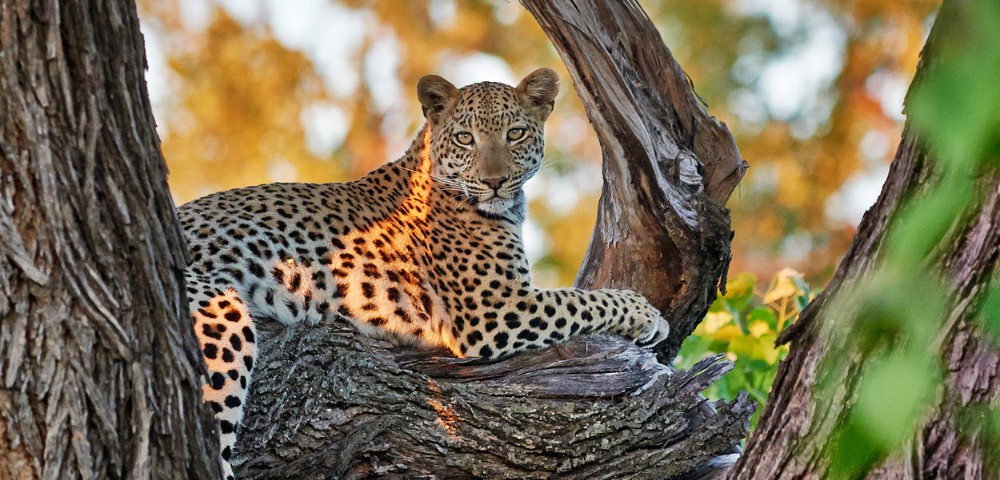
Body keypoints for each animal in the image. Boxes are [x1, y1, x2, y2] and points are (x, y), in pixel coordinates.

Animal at [179, 68, 670, 479]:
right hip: (217, 313)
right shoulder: (495, 310)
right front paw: (646, 315)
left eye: (514, 134)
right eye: (466, 139)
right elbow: (581, 299)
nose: (494, 182)